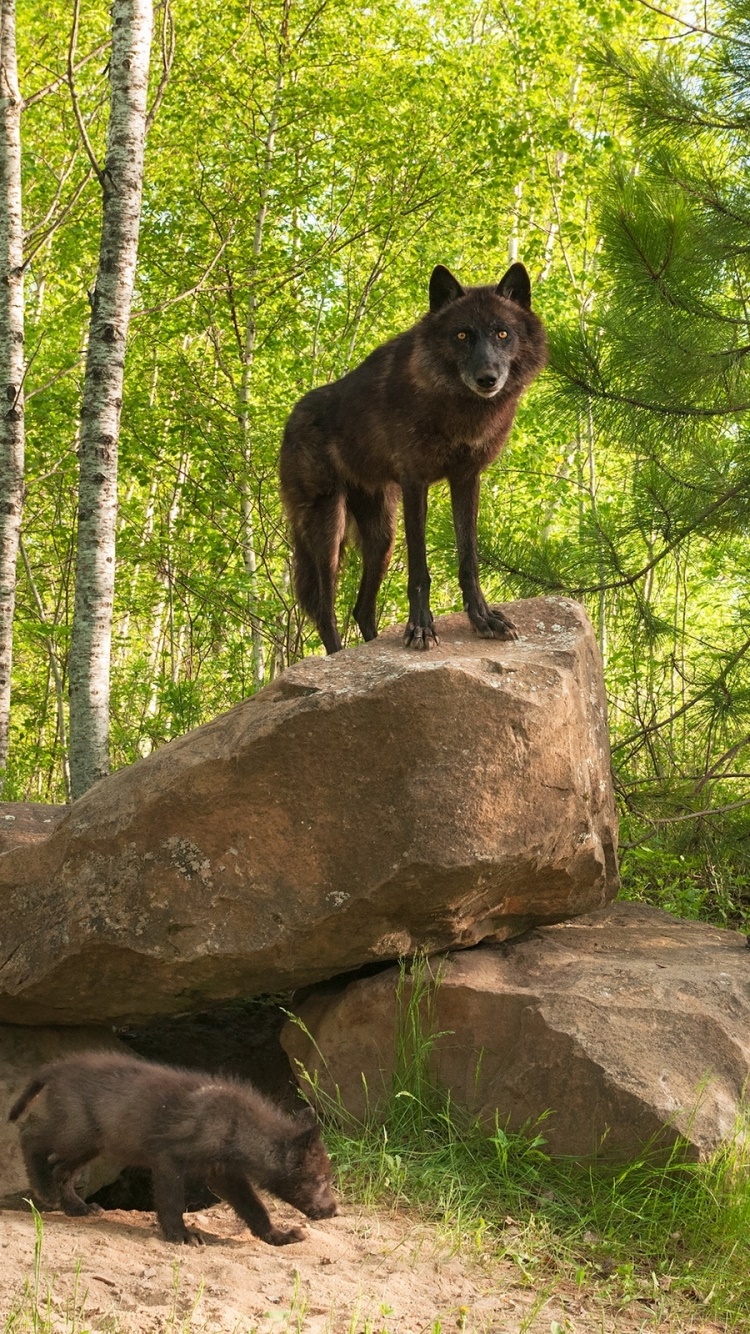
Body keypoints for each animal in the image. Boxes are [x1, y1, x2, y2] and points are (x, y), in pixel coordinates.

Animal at [9, 1051, 337, 1246]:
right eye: (321, 1180)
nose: (335, 1211)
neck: (234, 1125)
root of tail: (58, 1067)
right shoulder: (168, 1160)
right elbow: (170, 1203)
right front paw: (180, 1235)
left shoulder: (225, 1175)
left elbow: (255, 1210)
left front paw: (278, 1237)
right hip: (76, 1133)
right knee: (30, 1136)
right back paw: (44, 1190)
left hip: (91, 1144)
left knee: (61, 1169)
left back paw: (77, 1208)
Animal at [280, 261, 547, 653]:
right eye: (462, 335)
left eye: (502, 333)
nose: (487, 379)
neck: (456, 408)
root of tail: (290, 420)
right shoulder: (414, 483)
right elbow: (420, 568)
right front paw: (421, 628)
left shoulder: (466, 479)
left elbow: (469, 559)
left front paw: (483, 619)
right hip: (328, 530)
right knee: (325, 611)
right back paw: (337, 656)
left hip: (381, 536)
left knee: (361, 609)